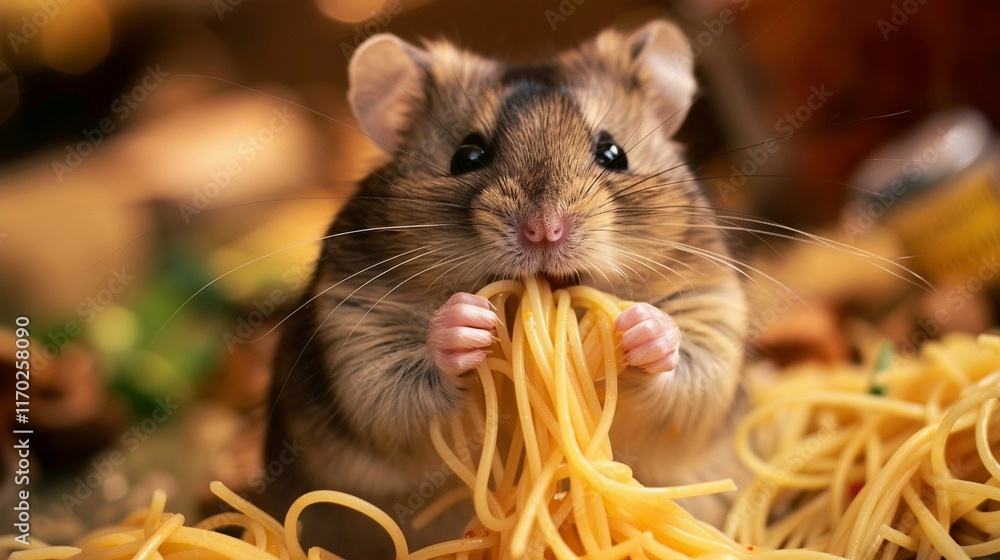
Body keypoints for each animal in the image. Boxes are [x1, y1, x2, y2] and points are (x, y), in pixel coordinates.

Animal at [263, 19, 748, 557]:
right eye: (466, 155)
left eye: (613, 153)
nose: (544, 230)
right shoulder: (358, 333)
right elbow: (396, 388)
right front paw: (464, 324)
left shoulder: (712, 308)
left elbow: (687, 374)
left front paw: (643, 328)